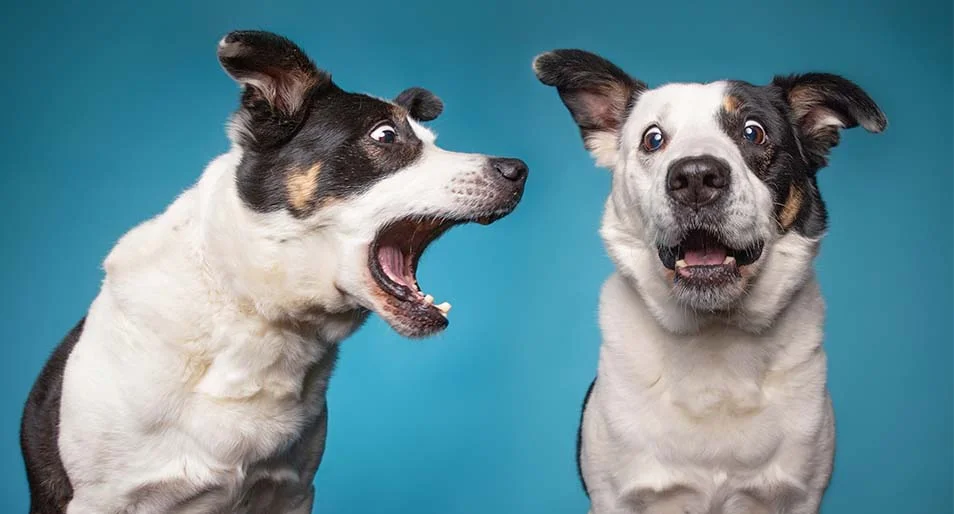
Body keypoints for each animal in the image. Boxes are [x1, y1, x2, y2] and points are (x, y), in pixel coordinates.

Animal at [18, 30, 528, 510]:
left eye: (433, 141)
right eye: (385, 135)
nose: (518, 170)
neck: (257, 312)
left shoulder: (292, 492)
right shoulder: (101, 500)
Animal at [536, 49, 884, 512]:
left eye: (753, 132)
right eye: (653, 139)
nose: (696, 178)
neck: (715, 340)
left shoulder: (800, 496)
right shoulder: (614, 498)